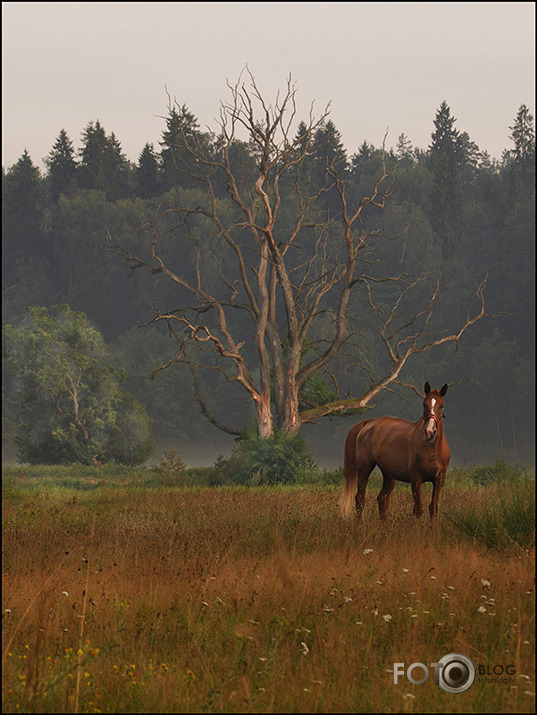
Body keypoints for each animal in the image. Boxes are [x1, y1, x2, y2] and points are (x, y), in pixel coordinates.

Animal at [342, 384, 450, 524]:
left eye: (441, 406)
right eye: (424, 405)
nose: (430, 432)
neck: (432, 450)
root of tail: (369, 423)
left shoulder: (439, 480)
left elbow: (433, 508)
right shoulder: (416, 479)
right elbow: (418, 508)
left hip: (389, 475)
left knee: (382, 499)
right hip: (364, 470)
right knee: (360, 499)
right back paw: (359, 525)